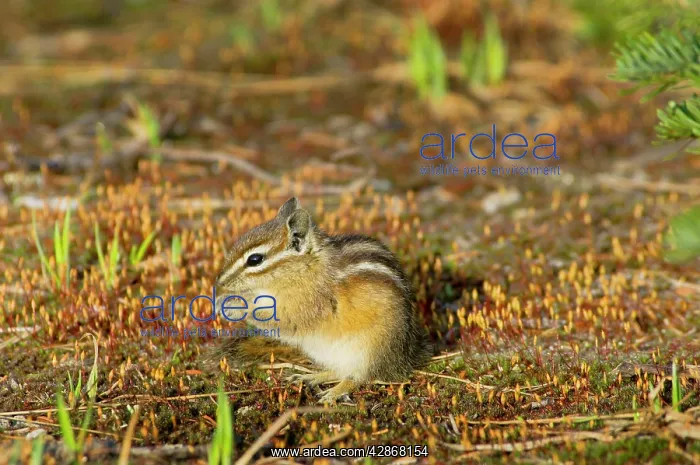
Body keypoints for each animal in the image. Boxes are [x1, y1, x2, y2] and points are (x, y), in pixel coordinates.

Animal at [206, 197, 431, 403]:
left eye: (255, 260)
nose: (220, 281)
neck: (306, 268)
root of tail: (404, 359)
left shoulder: (305, 306)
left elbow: (275, 318)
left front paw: (231, 304)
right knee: (339, 370)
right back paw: (311, 376)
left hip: (369, 352)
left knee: (360, 377)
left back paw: (335, 392)